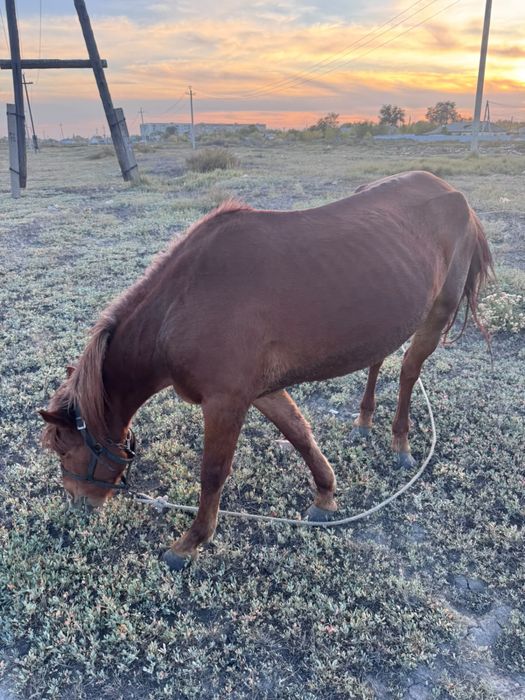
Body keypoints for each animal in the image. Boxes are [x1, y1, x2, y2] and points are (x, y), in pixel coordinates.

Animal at [40, 170, 493, 571]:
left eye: (63, 449)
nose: (76, 504)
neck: (181, 304)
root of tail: (453, 194)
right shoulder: (260, 392)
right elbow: (300, 435)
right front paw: (325, 496)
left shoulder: (225, 403)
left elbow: (213, 474)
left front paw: (189, 543)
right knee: (378, 361)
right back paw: (364, 421)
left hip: (437, 313)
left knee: (409, 372)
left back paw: (400, 442)